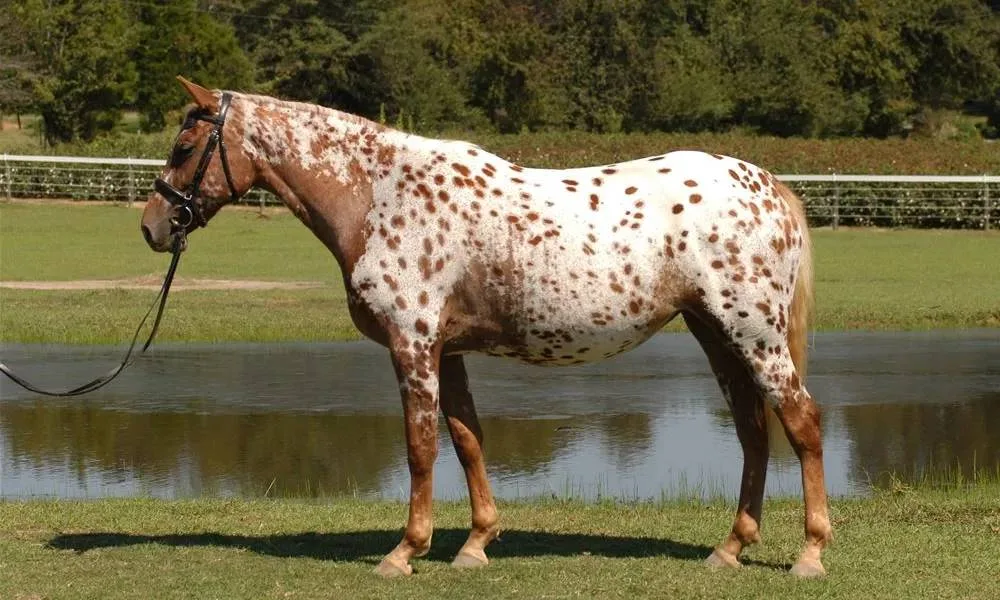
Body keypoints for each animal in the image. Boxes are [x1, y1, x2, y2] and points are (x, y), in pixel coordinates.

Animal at [141, 77, 832, 578]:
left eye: (184, 148)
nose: (152, 226)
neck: (380, 195)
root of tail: (765, 184)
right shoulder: (447, 352)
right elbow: (467, 440)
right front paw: (475, 544)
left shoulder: (413, 346)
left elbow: (421, 448)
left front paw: (405, 552)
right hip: (716, 334)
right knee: (753, 431)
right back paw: (730, 549)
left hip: (754, 336)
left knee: (800, 423)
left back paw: (809, 555)